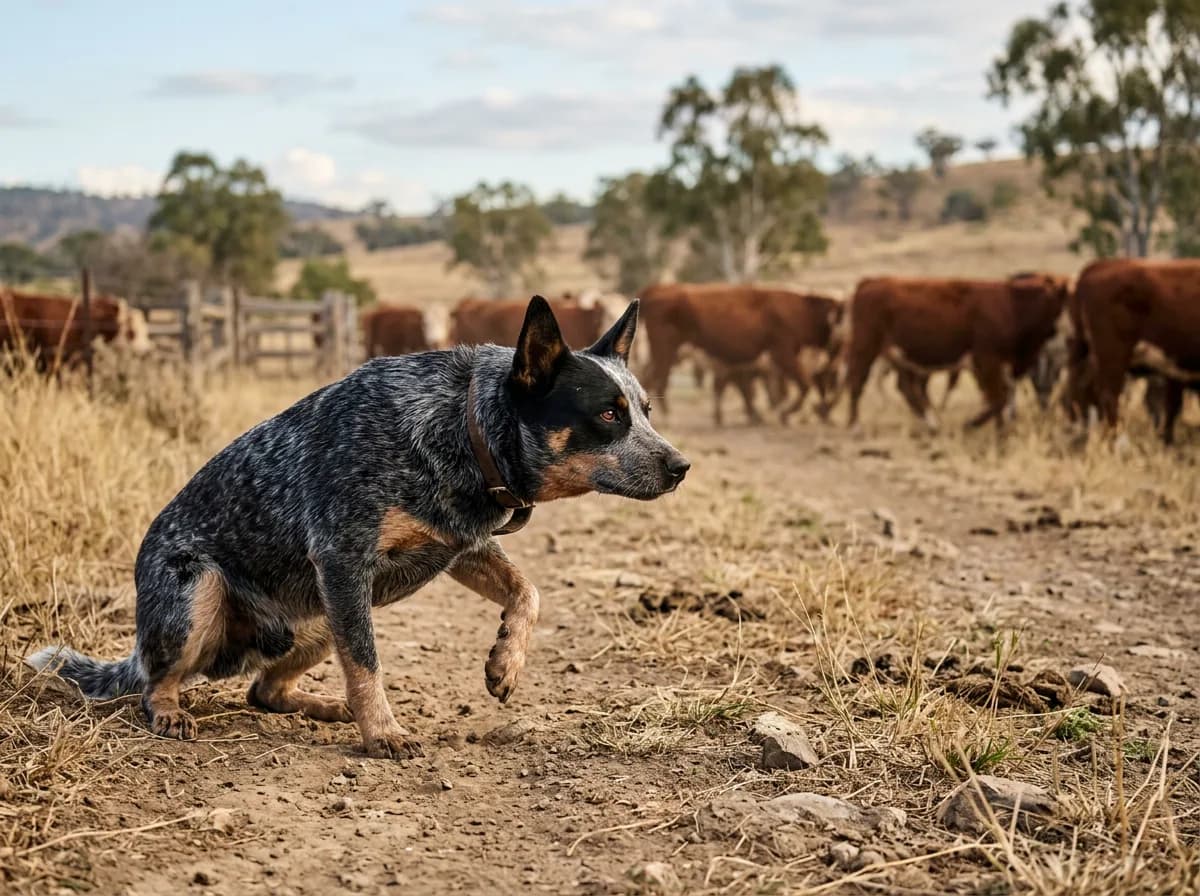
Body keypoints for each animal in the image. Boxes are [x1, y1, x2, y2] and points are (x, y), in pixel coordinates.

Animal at [638, 283, 844, 424]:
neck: (801, 310)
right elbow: (804, 384)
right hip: (664, 351)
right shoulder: (783, 353)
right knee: (659, 380)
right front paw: (787, 413)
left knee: (648, 379)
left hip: (662, 354)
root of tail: (658, 289)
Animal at [827, 274, 1069, 429]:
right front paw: (972, 424)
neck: (1013, 305)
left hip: (896, 354)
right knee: (857, 381)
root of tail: (871, 282)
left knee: (905, 388)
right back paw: (854, 424)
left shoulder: (1001, 366)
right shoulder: (986, 360)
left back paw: (930, 422)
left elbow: (1002, 398)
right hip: (865, 346)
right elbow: (998, 399)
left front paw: (1002, 429)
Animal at [1071, 259, 1200, 444]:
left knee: (1082, 389)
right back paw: (1116, 442)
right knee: (1108, 397)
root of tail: (1097, 266)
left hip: (1089, 353)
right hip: (1113, 356)